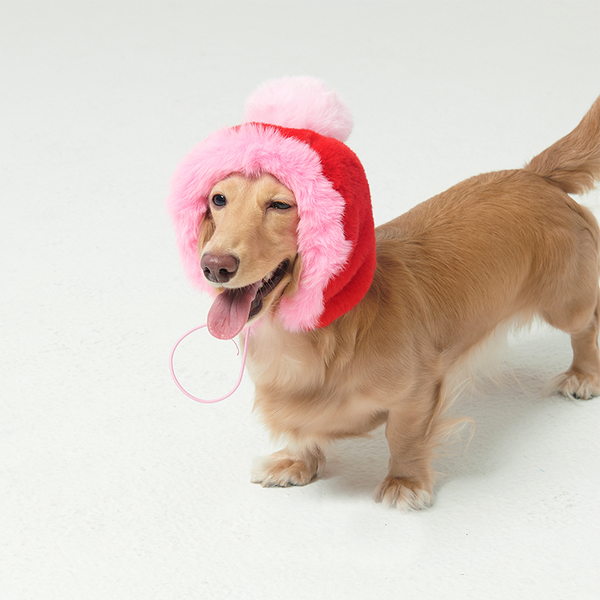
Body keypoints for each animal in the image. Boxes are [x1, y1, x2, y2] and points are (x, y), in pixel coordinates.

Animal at [169, 79, 600, 510]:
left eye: (279, 205)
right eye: (218, 199)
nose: (215, 266)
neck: (314, 338)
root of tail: (535, 175)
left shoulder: (418, 390)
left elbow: (403, 436)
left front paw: (405, 482)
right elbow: (302, 431)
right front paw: (296, 462)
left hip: (566, 306)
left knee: (587, 325)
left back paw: (584, 374)